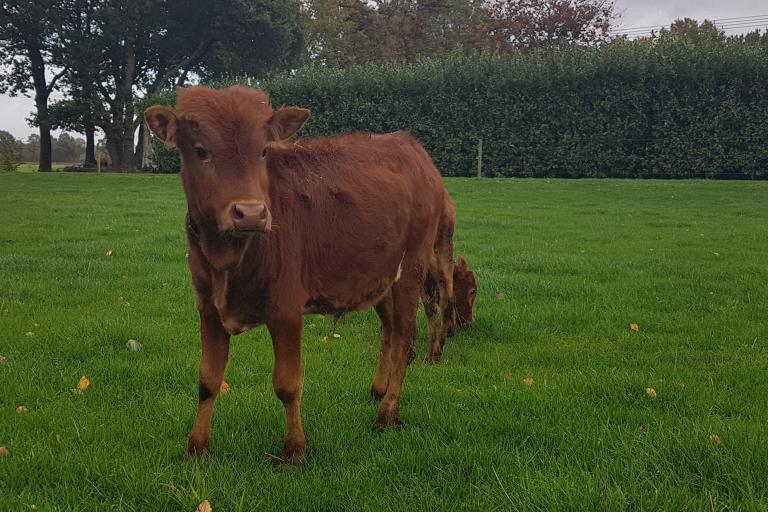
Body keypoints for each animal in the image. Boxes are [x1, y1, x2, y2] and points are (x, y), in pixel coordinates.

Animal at [144, 86, 444, 462]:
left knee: (404, 338)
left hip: (412, 267)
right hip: (382, 277)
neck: (229, 258)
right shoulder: (208, 309)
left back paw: (387, 413)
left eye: (263, 151)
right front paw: (197, 447)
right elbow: (208, 381)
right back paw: (379, 390)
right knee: (389, 332)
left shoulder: (286, 309)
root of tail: (411, 145)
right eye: (200, 150)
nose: (251, 213)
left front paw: (294, 450)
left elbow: (287, 385)